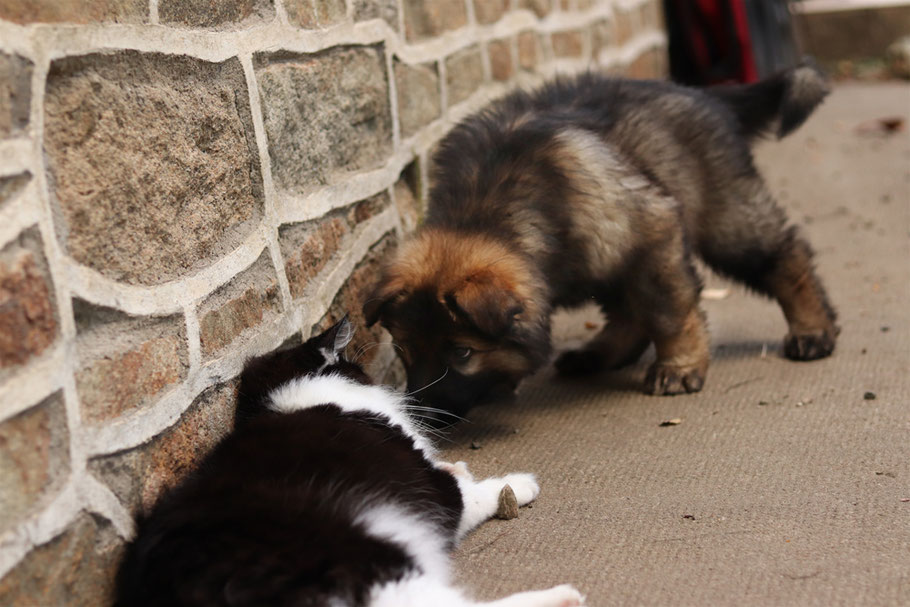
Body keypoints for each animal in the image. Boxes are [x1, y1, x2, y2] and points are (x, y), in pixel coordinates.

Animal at [116, 318, 584, 607]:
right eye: (357, 368)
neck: (288, 398)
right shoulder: (435, 492)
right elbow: (476, 493)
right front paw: (519, 484)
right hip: (367, 562)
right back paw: (564, 596)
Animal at [364, 63, 840, 422]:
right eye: (403, 349)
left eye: (462, 352)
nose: (422, 416)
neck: (485, 213)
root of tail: (707, 95)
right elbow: (644, 310)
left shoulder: (654, 226)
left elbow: (669, 311)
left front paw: (679, 365)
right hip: (606, 257)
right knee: (628, 309)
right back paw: (597, 354)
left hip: (723, 215)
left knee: (785, 254)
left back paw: (813, 329)